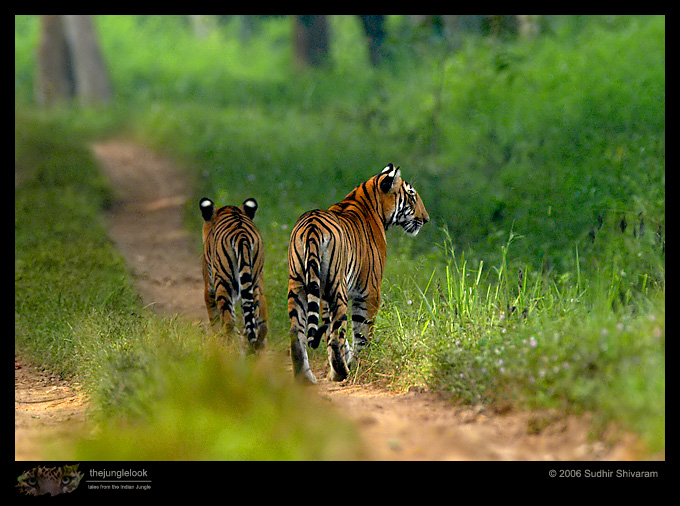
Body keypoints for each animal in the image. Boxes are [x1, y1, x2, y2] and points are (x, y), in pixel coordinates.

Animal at [200, 197, 268, 352]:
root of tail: (241, 235)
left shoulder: (209, 288)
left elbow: (214, 318)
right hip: (253, 285)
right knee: (251, 320)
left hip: (222, 284)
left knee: (229, 322)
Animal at [287, 163, 429, 383]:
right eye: (412, 196)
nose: (426, 219)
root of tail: (311, 228)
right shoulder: (370, 292)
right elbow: (362, 333)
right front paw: (360, 365)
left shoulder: (323, 295)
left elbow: (330, 329)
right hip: (337, 288)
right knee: (336, 333)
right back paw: (340, 373)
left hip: (298, 286)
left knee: (297, 332)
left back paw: (305, 378)